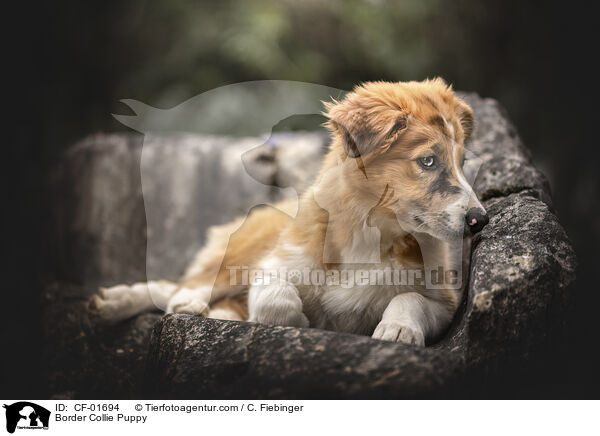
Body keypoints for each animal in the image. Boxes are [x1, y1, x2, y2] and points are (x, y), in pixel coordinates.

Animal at [92, 76, 488, 346]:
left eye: (462, 162)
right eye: (428, 161)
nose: (480, 220)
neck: (368, 233)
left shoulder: (446, 302)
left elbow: (410, 297)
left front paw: (398, 329)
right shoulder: (276, 262)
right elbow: (274, 294)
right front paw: (294, 319)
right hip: (244, 249)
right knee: (190, 281)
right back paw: (151, 300)